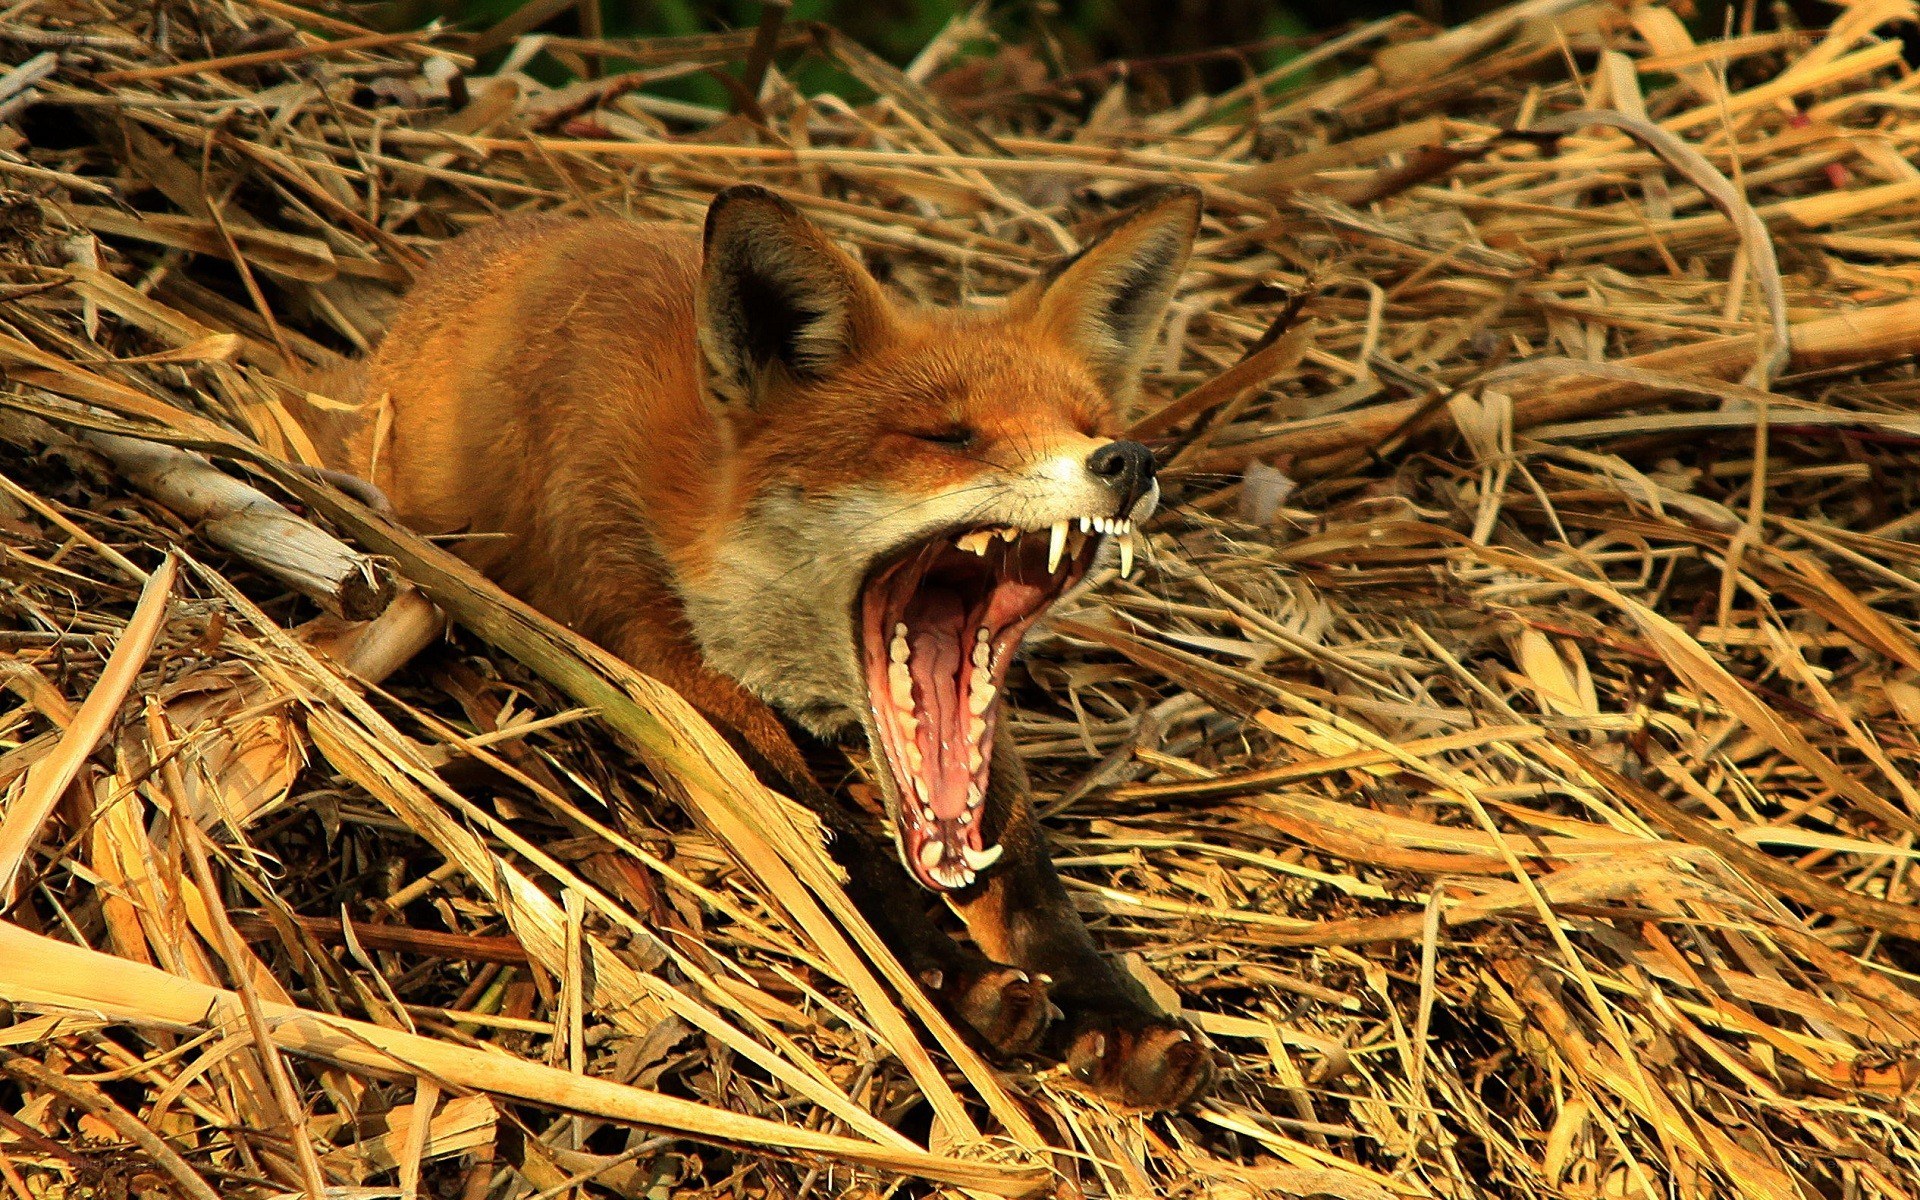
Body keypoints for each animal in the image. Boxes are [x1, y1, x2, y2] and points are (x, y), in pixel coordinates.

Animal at [297, 183, 1214, 1109]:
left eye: (1088, 423)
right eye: (951, 438)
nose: (1128, 460)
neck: (700, 494)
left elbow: (1025, 870)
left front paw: (1112, 1009)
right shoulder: (653, 645)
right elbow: (824, 844)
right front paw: (947, 976)